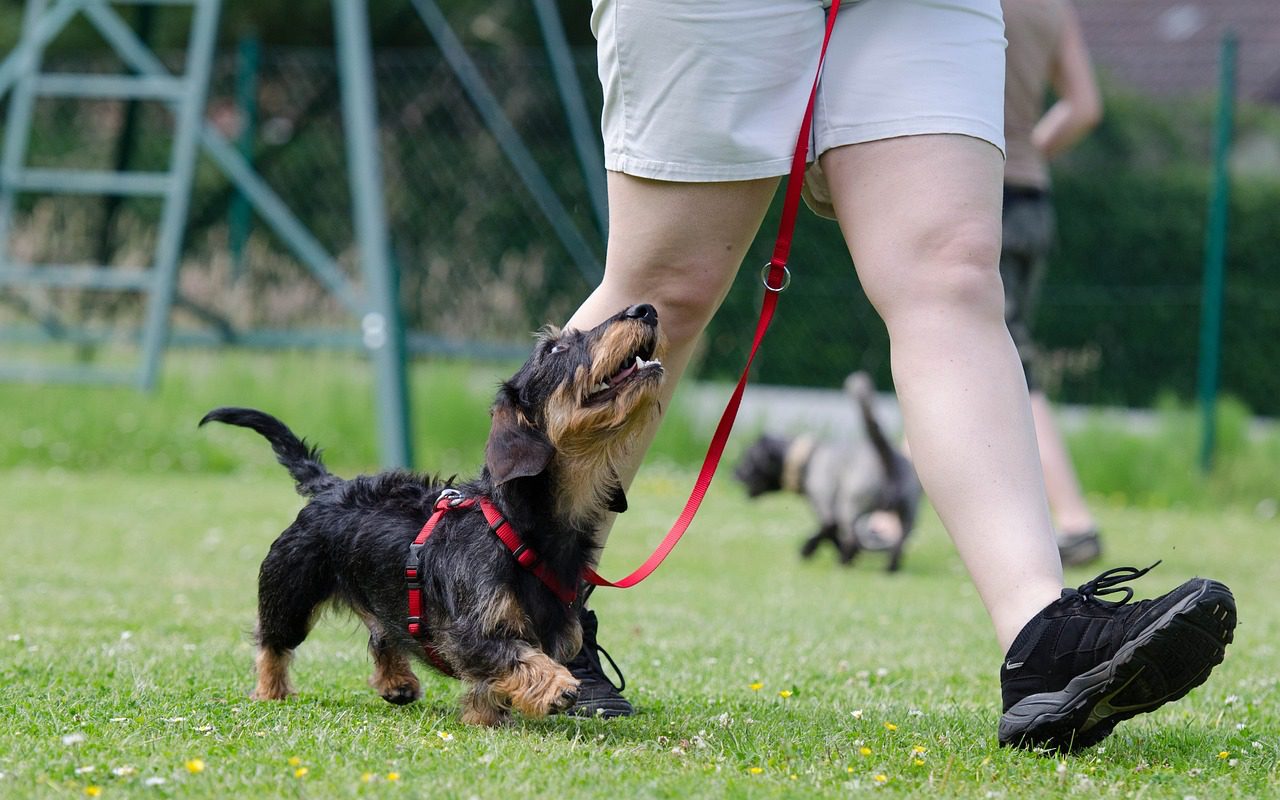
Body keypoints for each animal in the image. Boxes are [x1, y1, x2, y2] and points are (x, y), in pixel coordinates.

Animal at [204, 300, 665, 721]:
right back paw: (271, 691)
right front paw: (555, 685)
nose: (645, 309)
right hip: (290, 591)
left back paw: (397, 681)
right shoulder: (469, 633)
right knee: (272, 642)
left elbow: (494, 682)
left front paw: (486, 716)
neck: (518, 526)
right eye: (554, 349)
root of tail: (331, 486)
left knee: (382, 634)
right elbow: (515, 657)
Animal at [732, 371, 921, 570]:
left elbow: (827, 532)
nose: (732, 474)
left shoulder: (826, 508)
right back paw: (889, 568)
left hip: (850, 507)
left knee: (852, 538)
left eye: (746, 461)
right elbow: (830, 534)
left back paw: (843, 562)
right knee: (899, 544)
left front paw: (808, 550)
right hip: (908, 513)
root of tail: (887, 455)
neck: (807, 459)